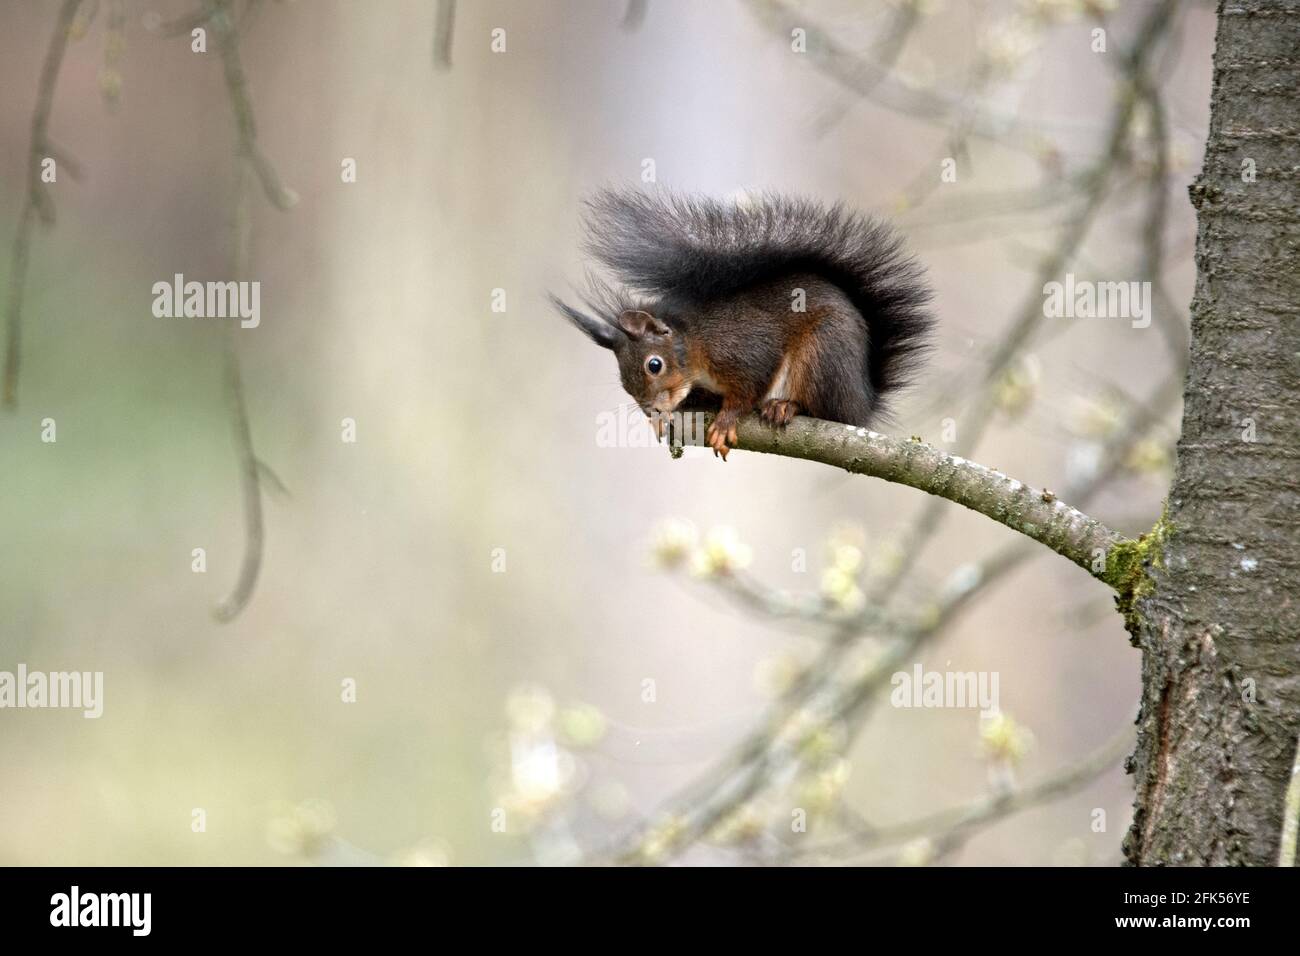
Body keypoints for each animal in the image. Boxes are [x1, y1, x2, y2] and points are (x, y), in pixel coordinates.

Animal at [552, 189, 933, 459]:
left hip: (824, 353)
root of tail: (864, 401)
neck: (696, 345)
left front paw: (726, 419)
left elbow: (750, 385)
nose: (652, 409)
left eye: (654, 365)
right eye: (622, 379)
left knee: (828, 410)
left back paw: (786, 406)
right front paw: (666, 418)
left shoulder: (744, 346)